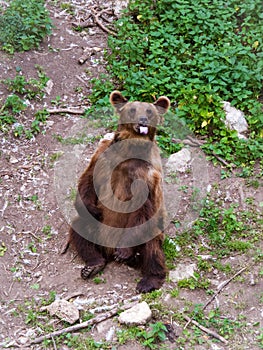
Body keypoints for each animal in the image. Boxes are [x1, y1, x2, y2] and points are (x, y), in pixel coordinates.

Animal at [68, 91, 171, 292]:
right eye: (132, 109)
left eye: (149, 110)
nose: (142, 120)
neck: (130, 149)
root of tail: (108, 250)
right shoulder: (103, 155)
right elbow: (87, 181)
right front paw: (93, 209)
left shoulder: (146, 175)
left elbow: (143, 206)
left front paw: (124, 252)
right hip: (98, 229)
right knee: (80, 227)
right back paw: (93, 265)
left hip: (148, 232)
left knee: (151, 248)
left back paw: (148, 280)